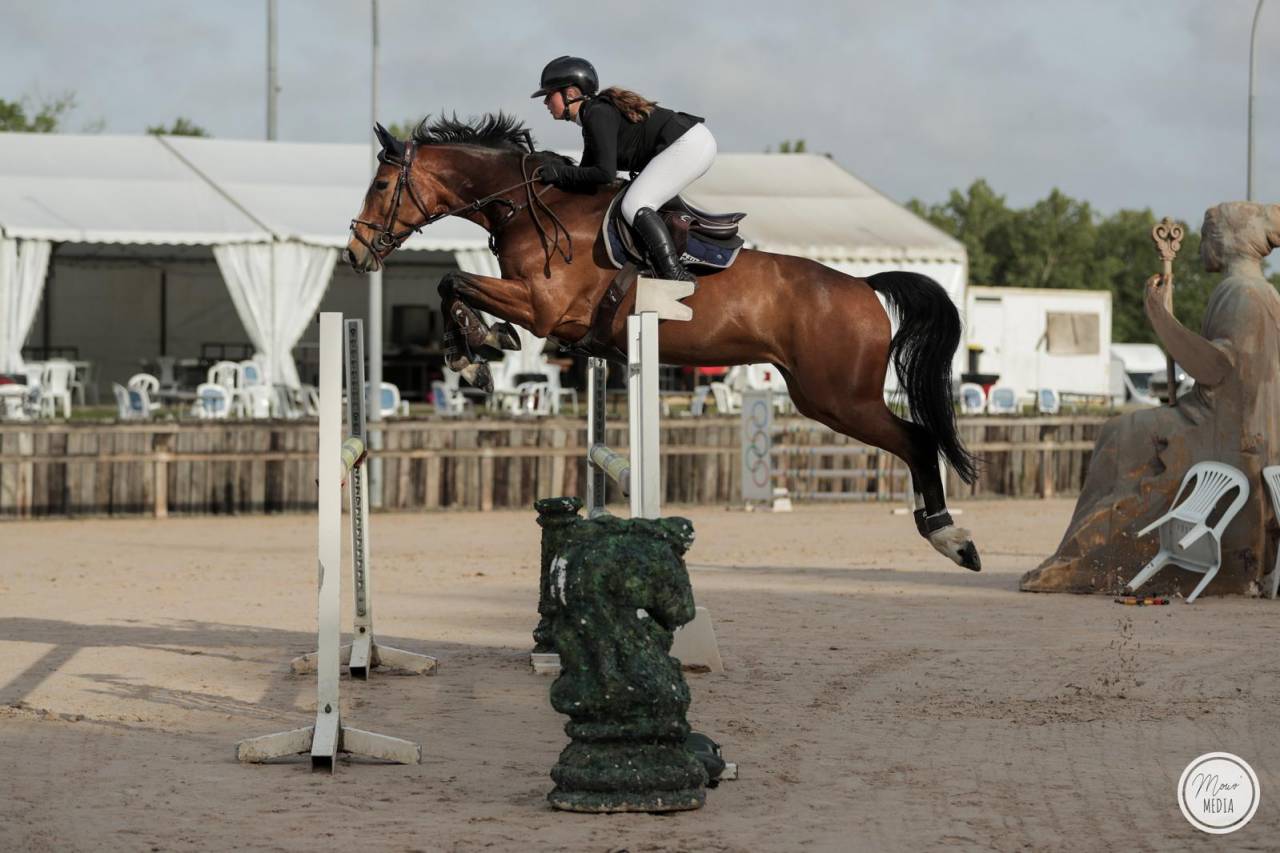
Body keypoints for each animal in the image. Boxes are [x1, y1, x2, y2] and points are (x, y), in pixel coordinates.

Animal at [345, 113, 981, 570]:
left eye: (382, 184)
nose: (355, 254)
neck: (528, 206)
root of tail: (863, 286)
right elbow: (451, 285)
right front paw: (477, 349)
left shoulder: (543, 308)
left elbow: (452, 279)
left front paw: (474, 352)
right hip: (819, 397)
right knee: (914, 440)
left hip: (840, 397)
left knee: (919, 440)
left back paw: (952, 538)